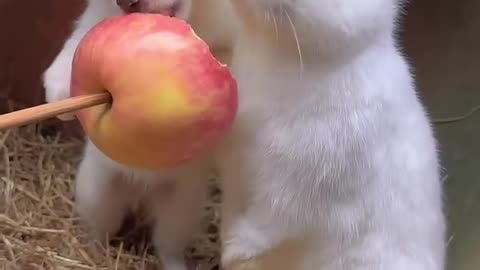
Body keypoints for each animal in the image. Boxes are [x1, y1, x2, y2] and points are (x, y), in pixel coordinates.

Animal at [44, 0, 239, 270]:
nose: (126, 3)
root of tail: (141, 195)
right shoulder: (87, 26)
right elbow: (66, 60)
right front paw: (62, 104)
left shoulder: (231, 42)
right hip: (97, 194)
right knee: (98, 232)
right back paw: (89, 253)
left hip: (180, 211)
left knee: (167, 247)